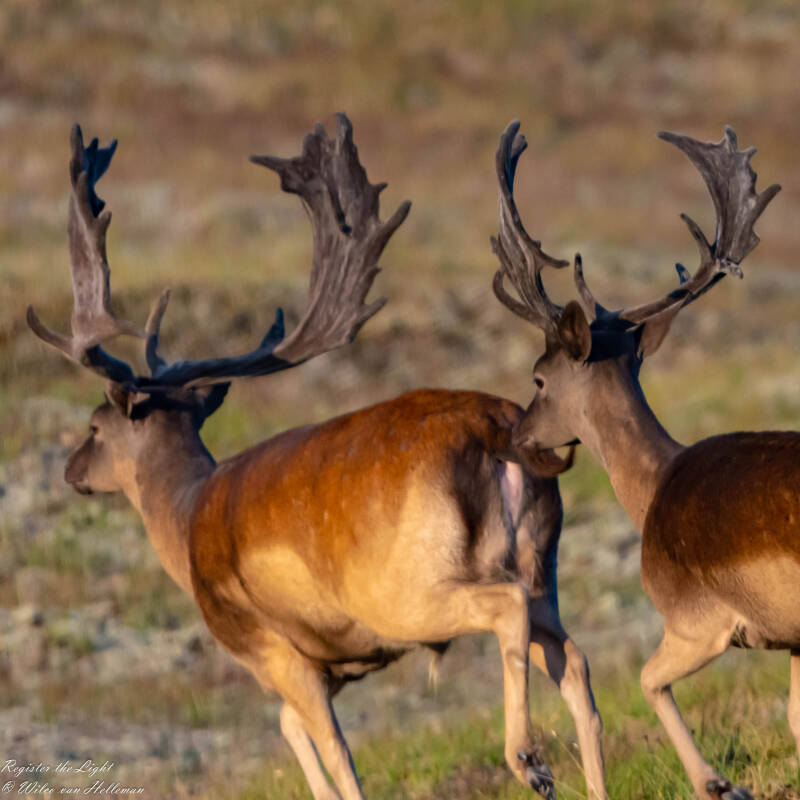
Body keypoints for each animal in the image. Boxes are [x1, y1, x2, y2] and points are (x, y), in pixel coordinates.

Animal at [27, 117, 608, 800]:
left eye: (94, 425)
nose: (70, 470)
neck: (185, 517)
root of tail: (499, 434)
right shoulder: (327, 661)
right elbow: (292, 730)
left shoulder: (270, 648)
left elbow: (334, 749)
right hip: (542, 567)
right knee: (574, 661)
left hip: (408, 589)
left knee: (506, 610)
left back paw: (527, 758)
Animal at [490, 118, 786, 800]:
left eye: (539, 376)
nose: (515, 436)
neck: (652, 489)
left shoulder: (700, 620)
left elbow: (649, 679)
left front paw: (719, 783)